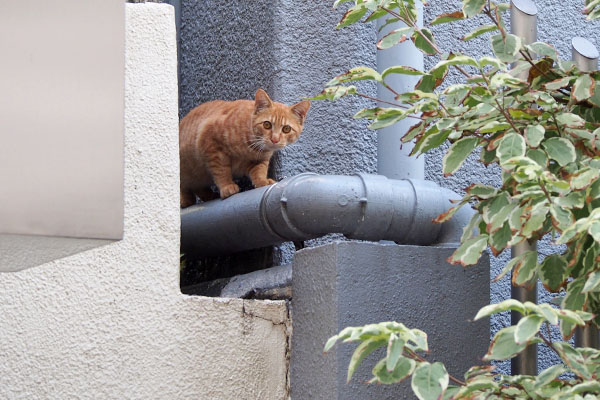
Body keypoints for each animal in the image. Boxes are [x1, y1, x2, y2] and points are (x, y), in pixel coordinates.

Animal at [178, 89, 310, 208]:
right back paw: (185, 200)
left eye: (286, 129)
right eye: (267, 124)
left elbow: (259, 171)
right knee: (183, 187)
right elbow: (221, 170)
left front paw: (263, 181)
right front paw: (227, 186)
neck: (250, 147)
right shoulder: (211, 144)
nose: (275, 139)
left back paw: (209, 195)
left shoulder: (259, 160)